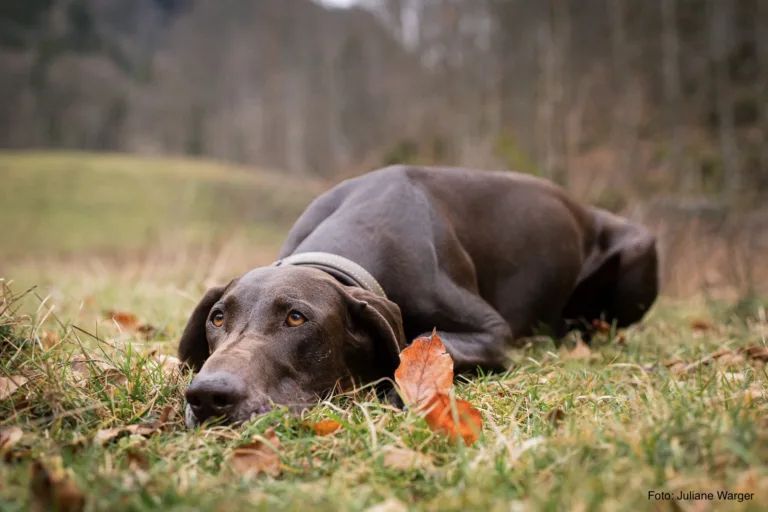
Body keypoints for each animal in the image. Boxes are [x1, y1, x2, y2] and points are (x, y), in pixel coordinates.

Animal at [177, 166, 656, 426]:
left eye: (296, 317)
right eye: (217, 318)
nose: (207, 396)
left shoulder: (492, 334)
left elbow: (416, 342)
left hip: (640, 250)